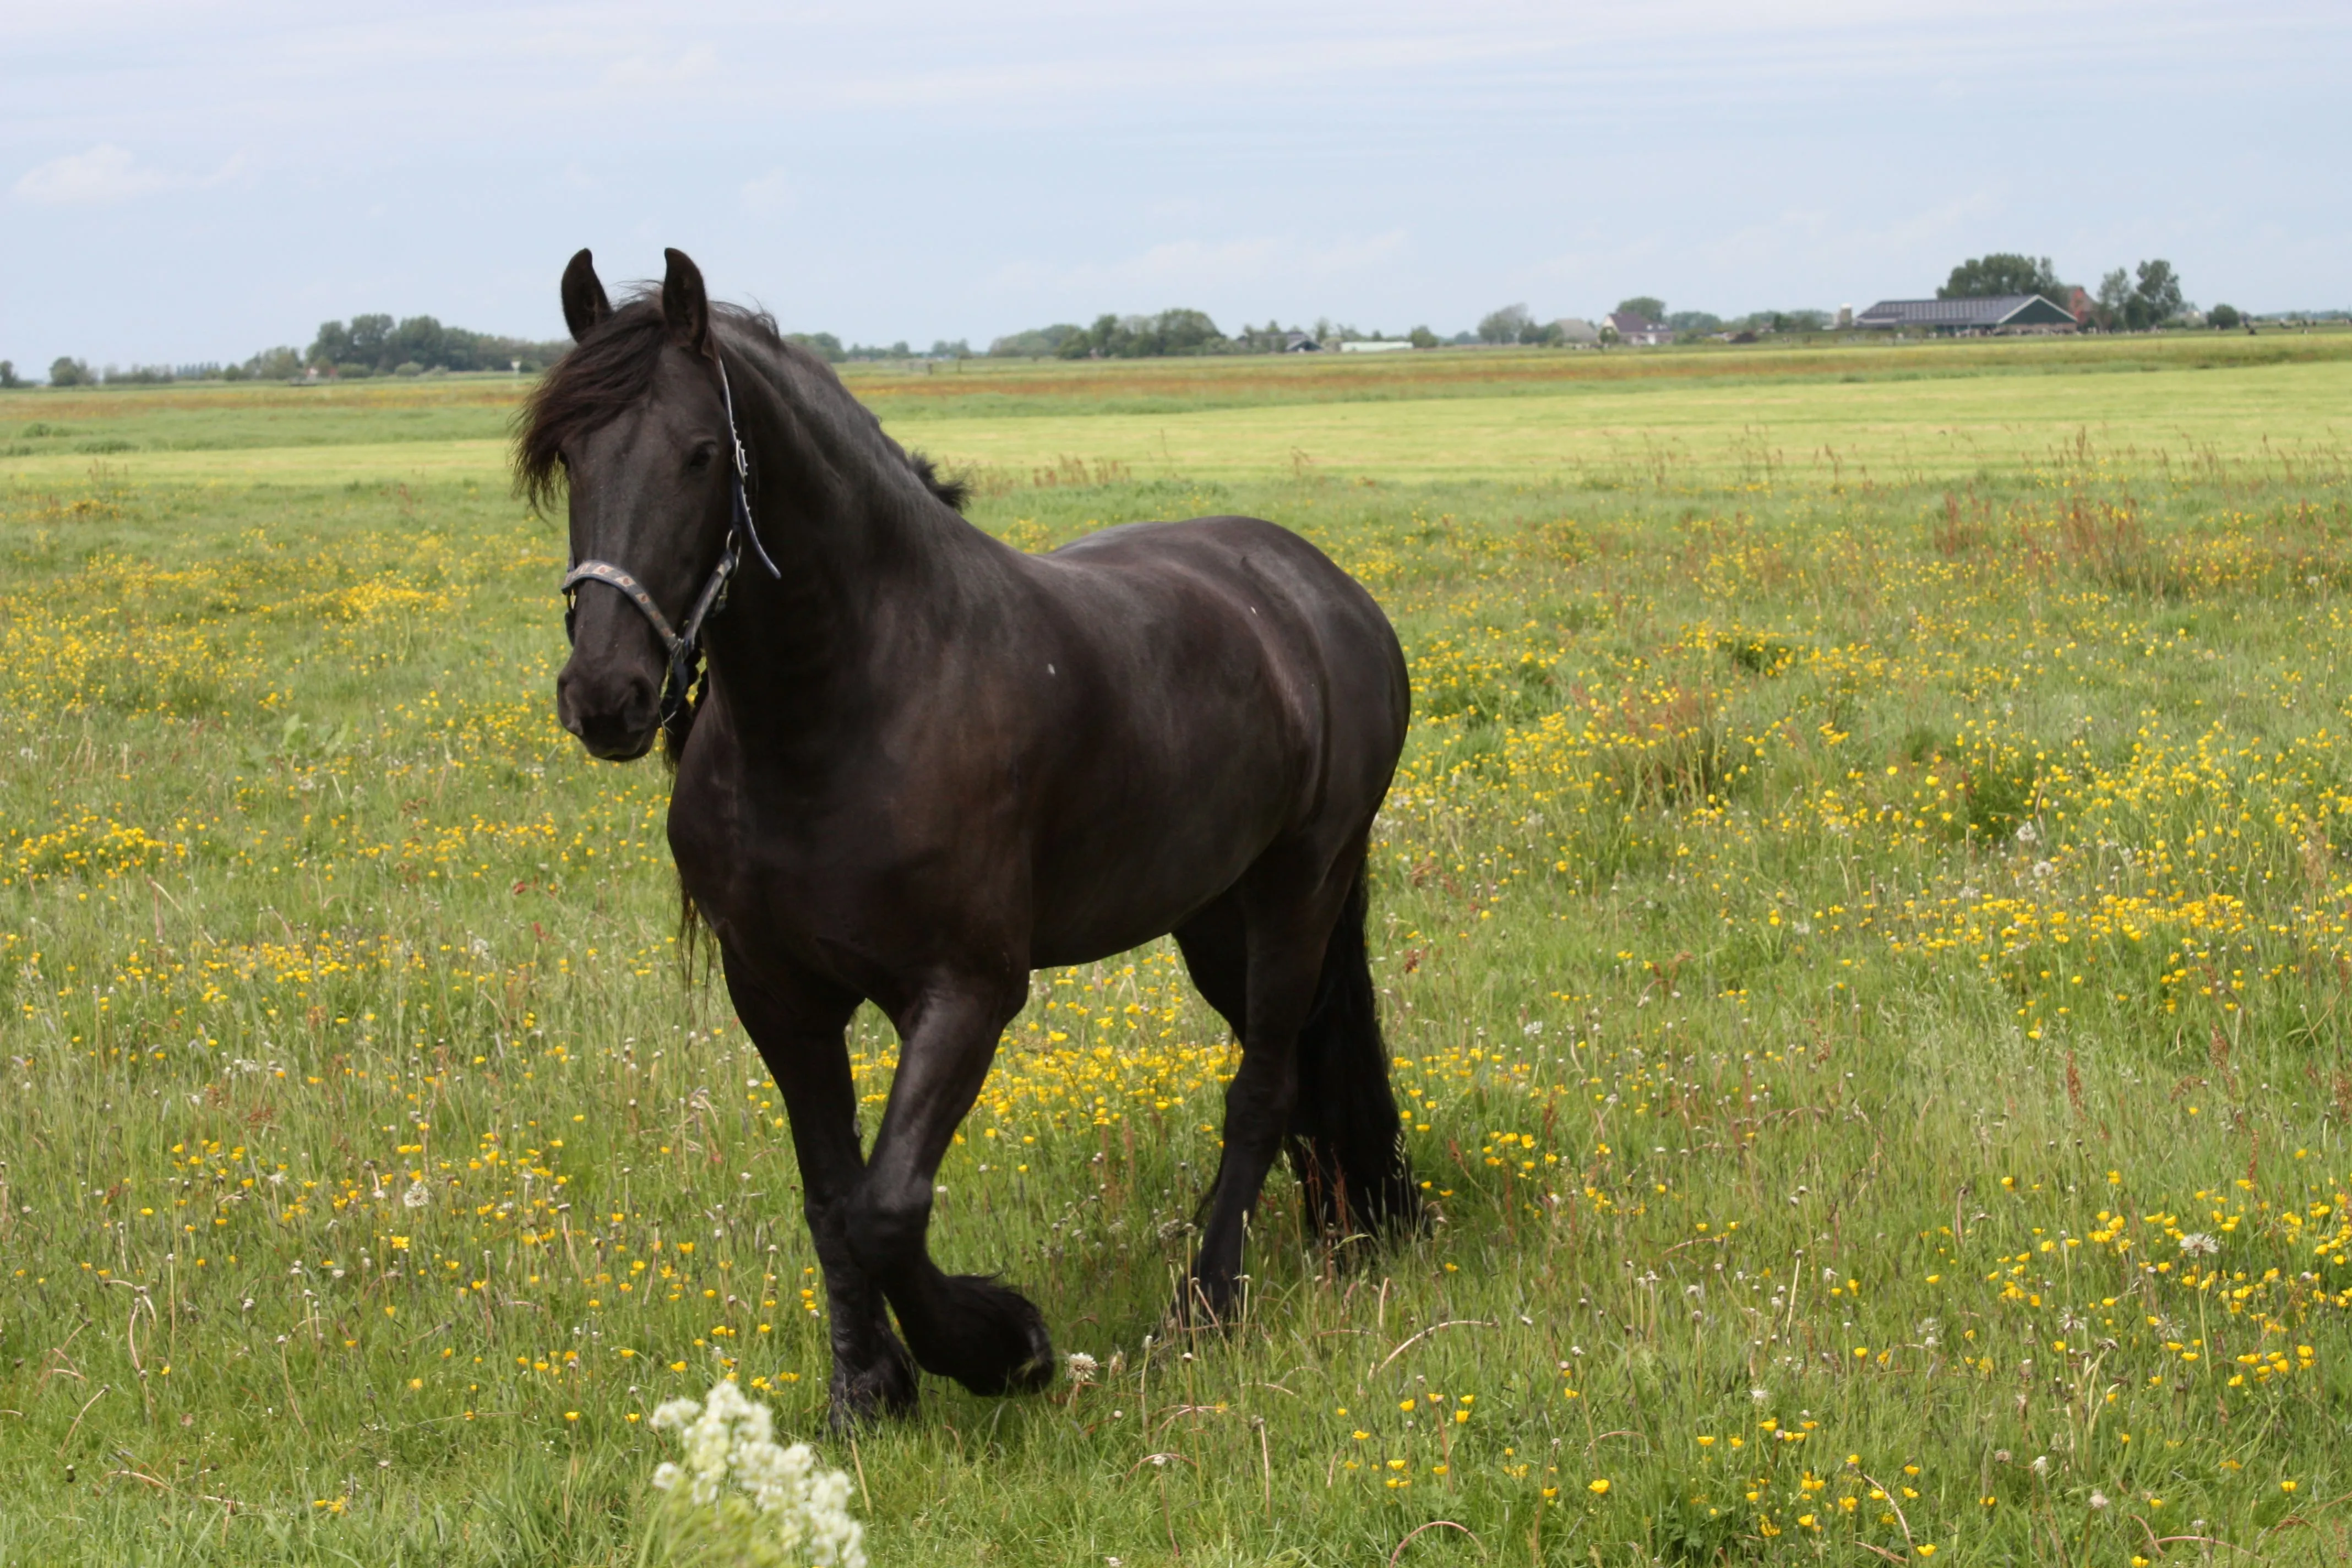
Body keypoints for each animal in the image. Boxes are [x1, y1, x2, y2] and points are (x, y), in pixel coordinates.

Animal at [522, 246, 1411, 1419]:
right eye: (569, 457)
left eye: (700, 454)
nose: (606, 695)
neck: (848, 705)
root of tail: (1322, 591)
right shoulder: (778, 993)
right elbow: (830, 1193)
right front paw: (866, 1388)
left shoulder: (966, 992)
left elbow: (887, 1205)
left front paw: (1003, 1344)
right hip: (1214, 914)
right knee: (1303, 1072)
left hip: (1299, 889)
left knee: (1262, 1084)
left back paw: (1205, 1302)